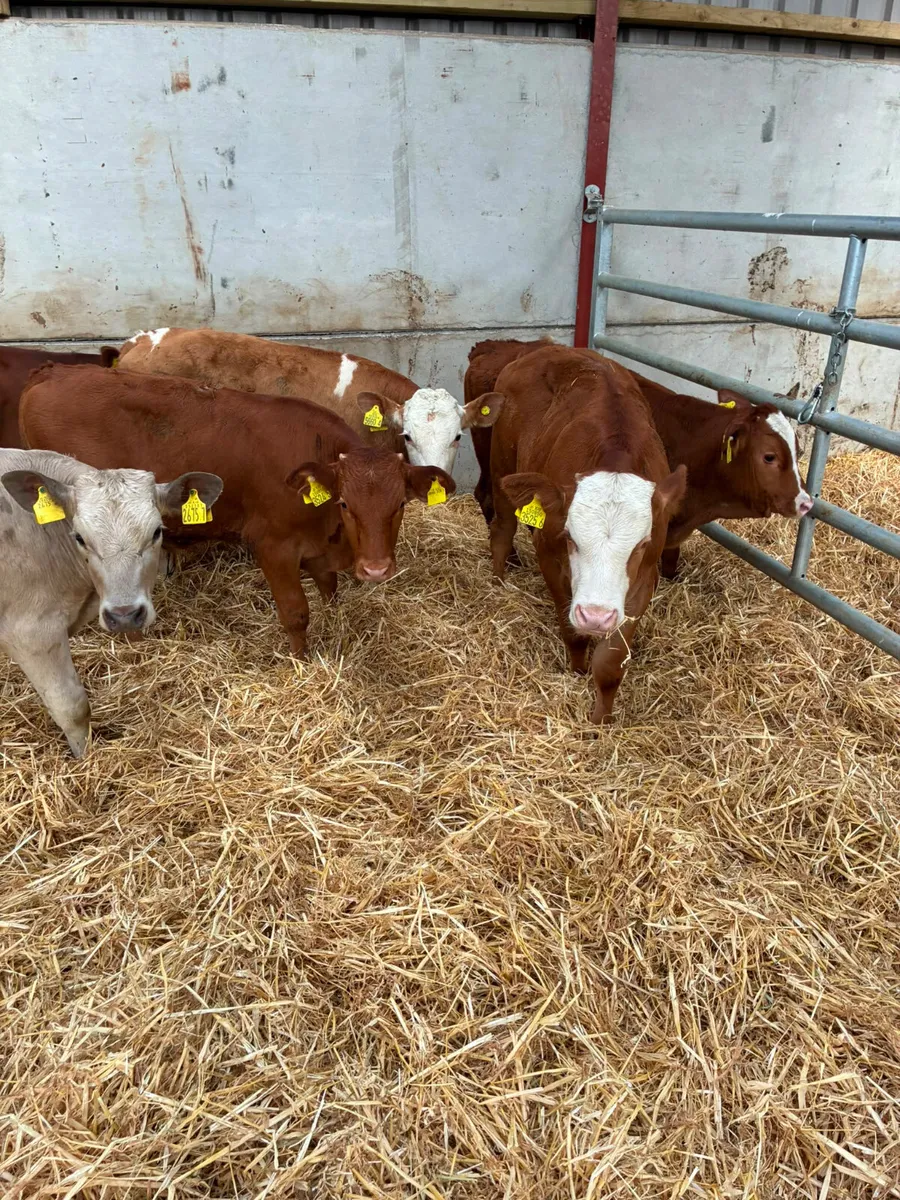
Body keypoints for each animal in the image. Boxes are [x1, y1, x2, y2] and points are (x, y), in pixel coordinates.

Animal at [0, 448, 221, 756]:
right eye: (80, 537)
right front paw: (85, 758)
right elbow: (72, 708)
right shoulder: (31, 633)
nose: (125, 615)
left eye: (157, 532)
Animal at [19, 365, 456, 657]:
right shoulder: (274, 546)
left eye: (400, 504)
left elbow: (330, 588)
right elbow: (296, 613)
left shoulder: (318, 549)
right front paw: (302, 662)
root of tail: (53, 371)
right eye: (346, 503)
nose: (377, 570)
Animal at [487, 344, 686, 725]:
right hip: (501, 464)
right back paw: (499, 581)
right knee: (502, 529)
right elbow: (572, 632)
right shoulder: (550, 557)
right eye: (570, 538)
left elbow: (610, 662)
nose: (594, 616)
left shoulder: (644, 581)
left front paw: (601, 720)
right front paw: (577, 669)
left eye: (641, 545)